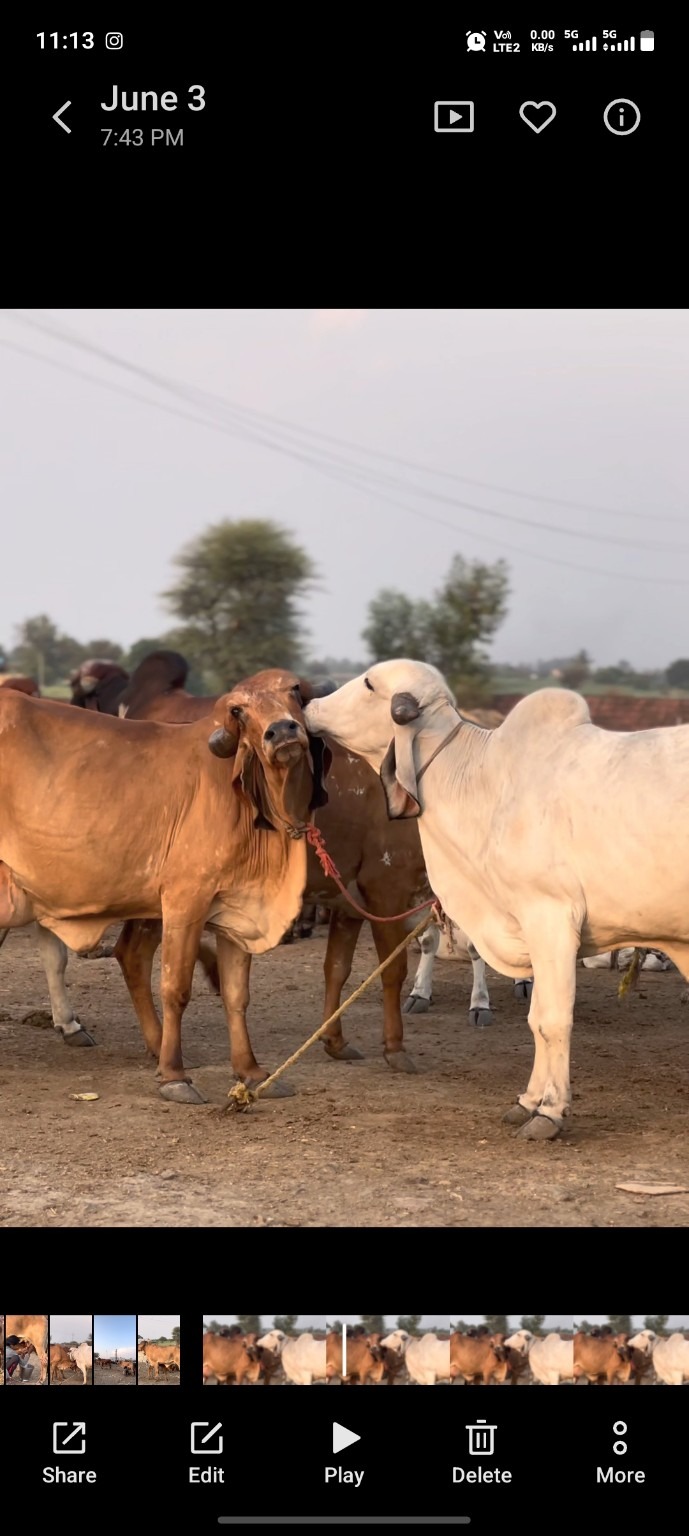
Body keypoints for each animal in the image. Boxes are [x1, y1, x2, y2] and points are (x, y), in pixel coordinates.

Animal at [0, 671, 329, 1103]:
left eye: (292, 690)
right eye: (238, 711)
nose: (281, 731)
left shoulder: (237, 908)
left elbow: (236, 995)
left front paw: (251, 1072)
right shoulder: (185, 900)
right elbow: (176, 987)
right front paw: (175, 1075)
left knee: (118, 955)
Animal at [304, 658, 689, 1139]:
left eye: (370, 683)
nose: (312, 697)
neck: (482, 782)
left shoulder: (551, 919)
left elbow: (551, 1019)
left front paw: (549, 1112)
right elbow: (536, 1018)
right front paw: (528, 1101)